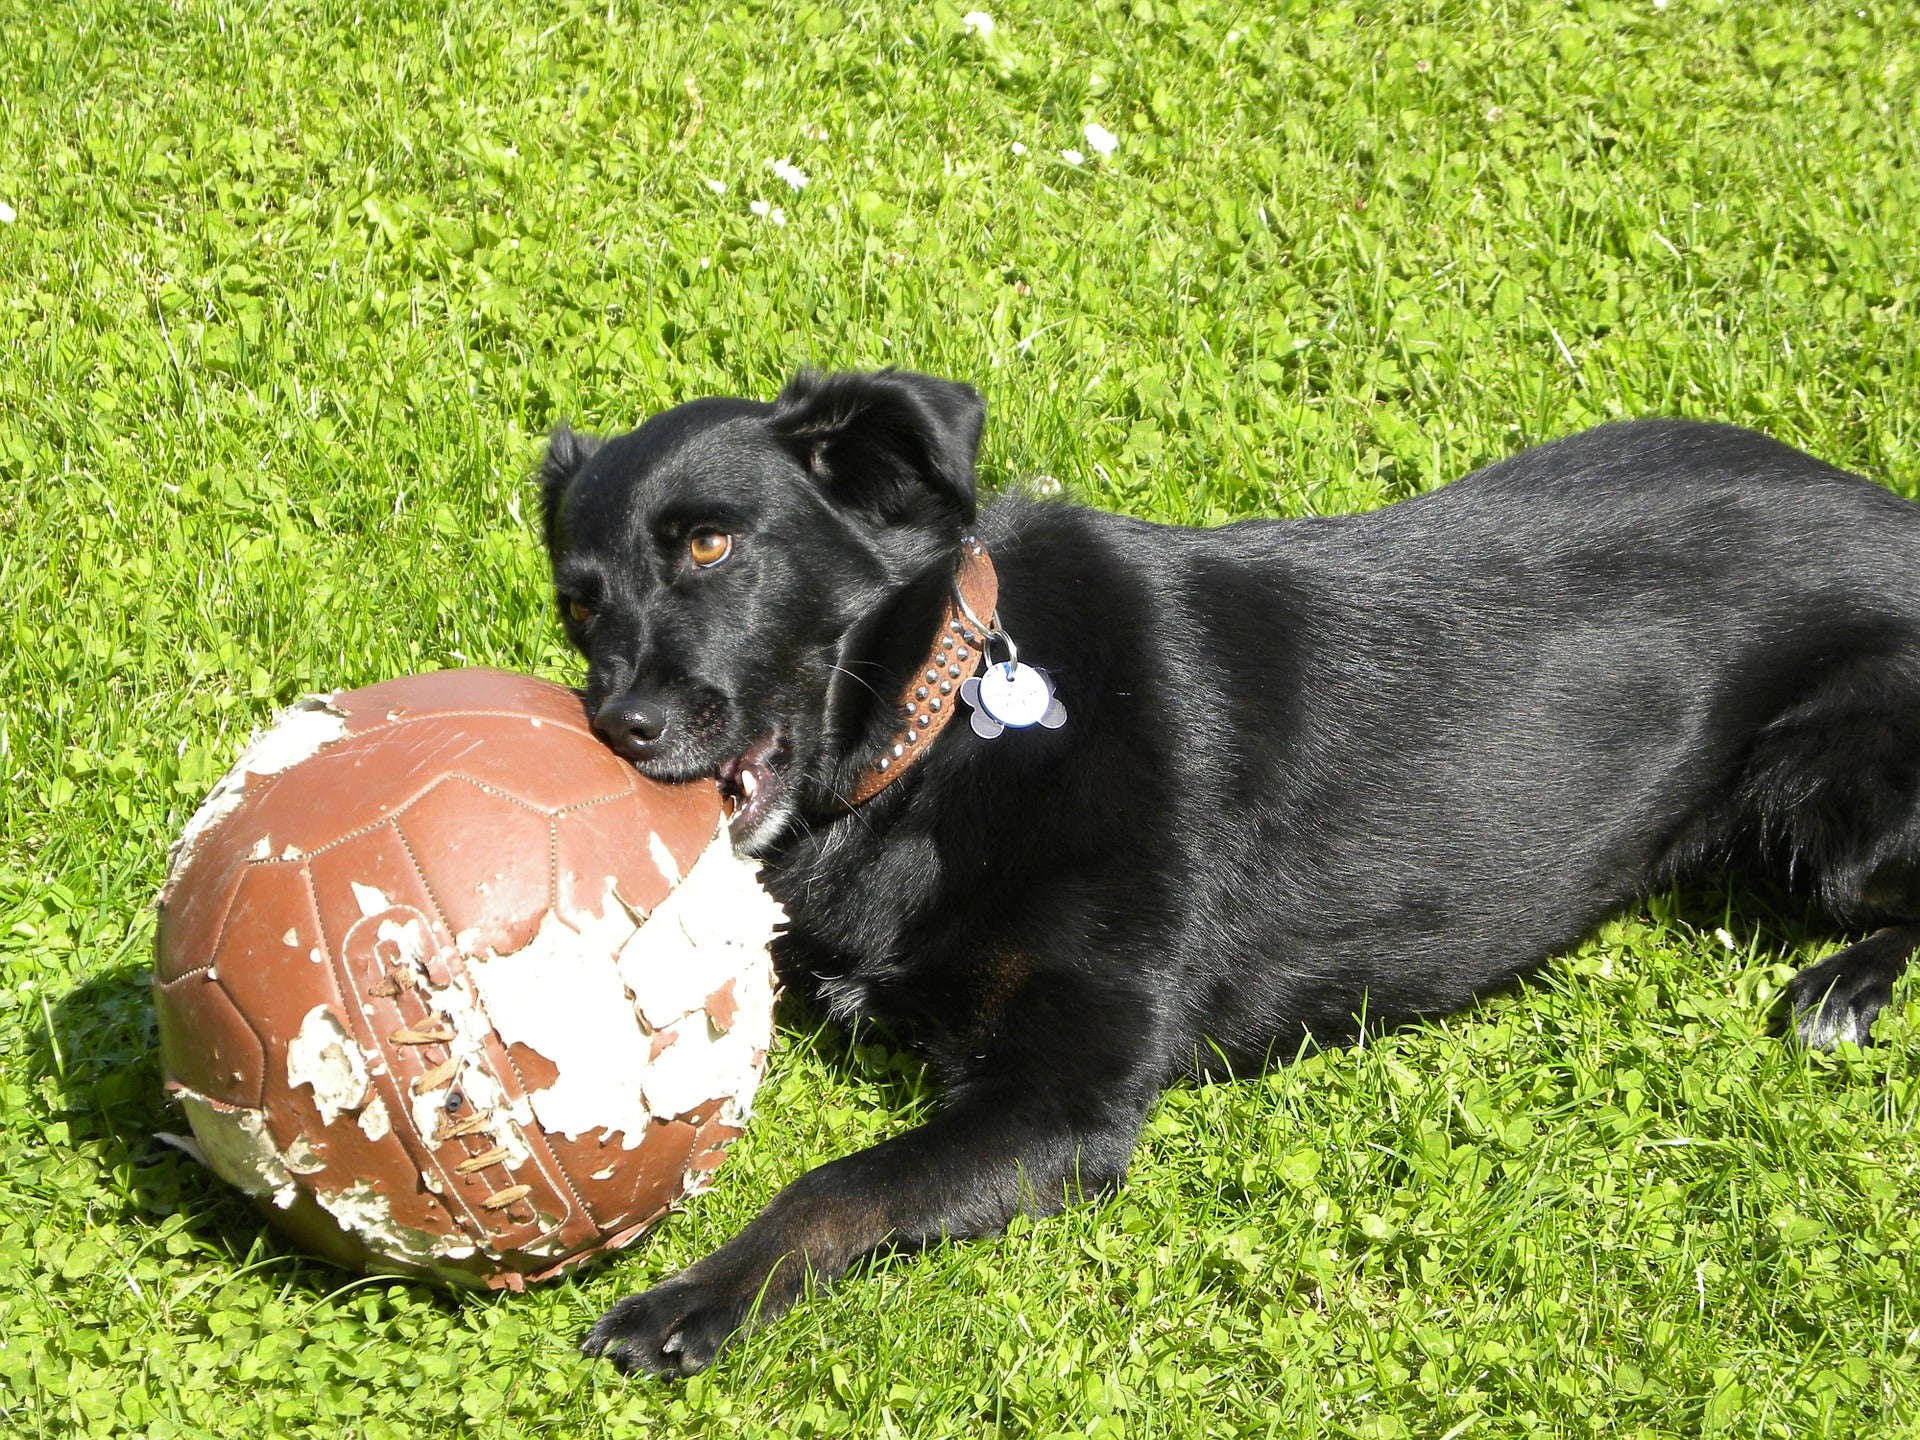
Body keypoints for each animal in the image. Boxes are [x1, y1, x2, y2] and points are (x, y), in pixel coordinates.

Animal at [537, 366, 1920, 1382]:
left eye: (713, 547)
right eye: (581, 602)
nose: (616, 727)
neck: (946, 730)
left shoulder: (1065, 1102)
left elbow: (839, 1184)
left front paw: (690, 1295)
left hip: (1818, 801)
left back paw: (1845, 990)